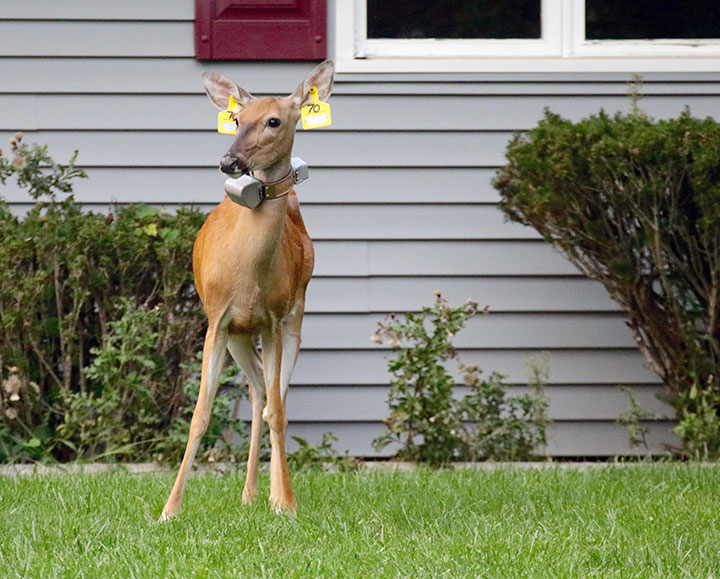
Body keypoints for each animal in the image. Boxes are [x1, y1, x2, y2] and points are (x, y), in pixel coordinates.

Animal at [160, 60, 334, 520]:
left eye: (274, 121)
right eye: (236, 120)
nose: (228, 160)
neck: (248, 271)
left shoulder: (272, 319)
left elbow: (278, 411)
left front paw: (286, 502)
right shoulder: (217, 320)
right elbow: (200, 415)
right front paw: (170, 508)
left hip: (294, 316)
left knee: (275, 398)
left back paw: (268, 493)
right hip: (240, 334)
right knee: (257, 391)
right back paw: (249, 493)